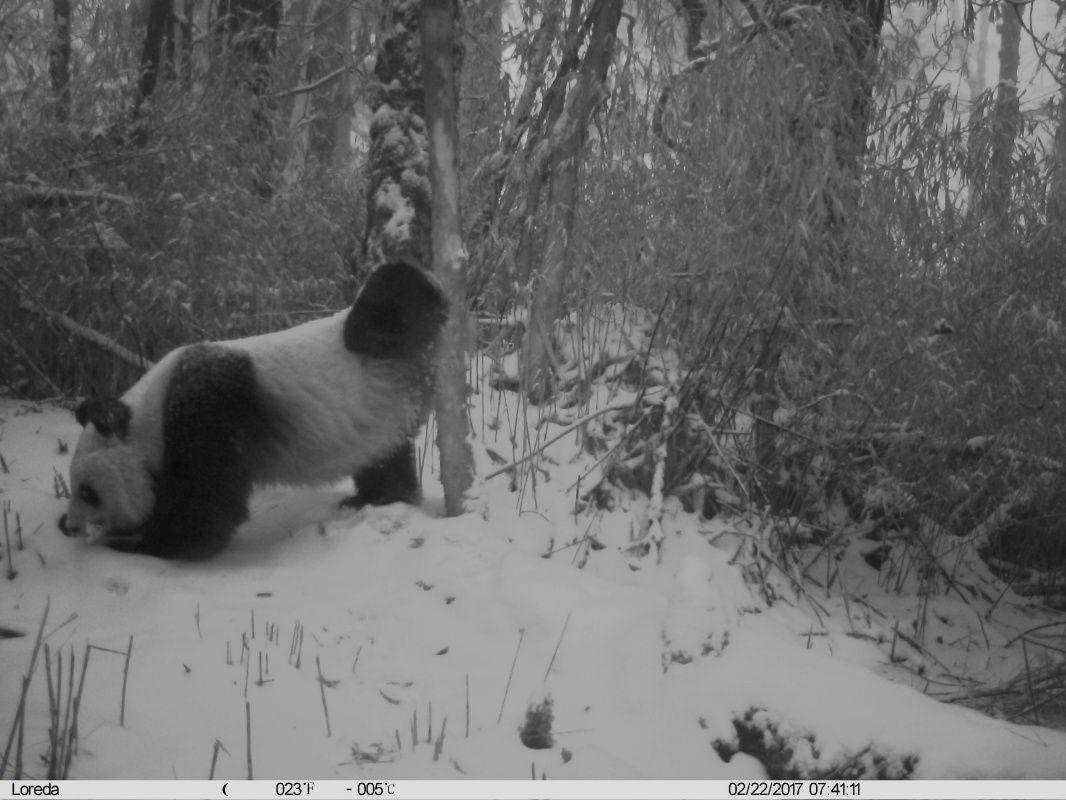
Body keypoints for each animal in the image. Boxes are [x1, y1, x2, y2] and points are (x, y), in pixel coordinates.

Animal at [56, 261, 447, 558]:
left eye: (88, 491)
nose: (68, 526)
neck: (150, 413)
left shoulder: (209, 406)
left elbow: (207, 504)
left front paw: (140, 541)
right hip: (384, 418)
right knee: (384, 459)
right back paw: (373, 499)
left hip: (383, 344)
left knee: (388, 297)